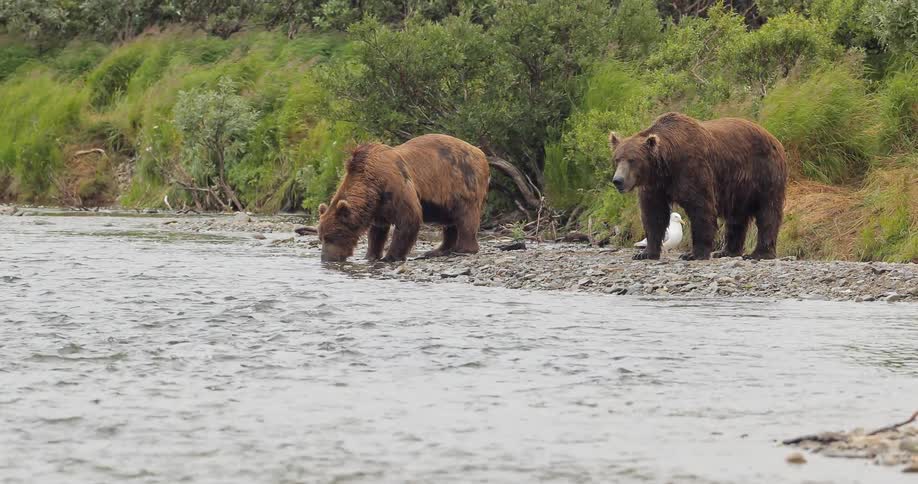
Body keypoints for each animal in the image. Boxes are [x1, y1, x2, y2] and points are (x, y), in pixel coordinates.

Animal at [317, 133, 490, 262]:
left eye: (330, 237)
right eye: (321, 237)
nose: (326, 258)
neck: (371, 183)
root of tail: (481, 153)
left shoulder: (395, 185)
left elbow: (408, 218)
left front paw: (390, 256)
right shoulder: (379, 205)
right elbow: (378, 230)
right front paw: (371, 255)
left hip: (463, 181)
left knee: (466, 217)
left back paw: (463, 249)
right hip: (445, 197)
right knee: (449, 221)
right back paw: (439, 250)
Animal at [608, 112, 788, 261]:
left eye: (632, 160)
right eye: (617, 159)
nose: (618, 180)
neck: (666, 165)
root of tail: (773, 137)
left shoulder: (692, 168)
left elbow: (701, 208)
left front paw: (694, 254)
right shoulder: (655, 185)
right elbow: (653, 214)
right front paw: (645, 253)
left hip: (764, 173)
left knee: (768, 211)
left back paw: (759, 253)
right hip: (738, 187)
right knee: (736, 217)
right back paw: (726, 251)